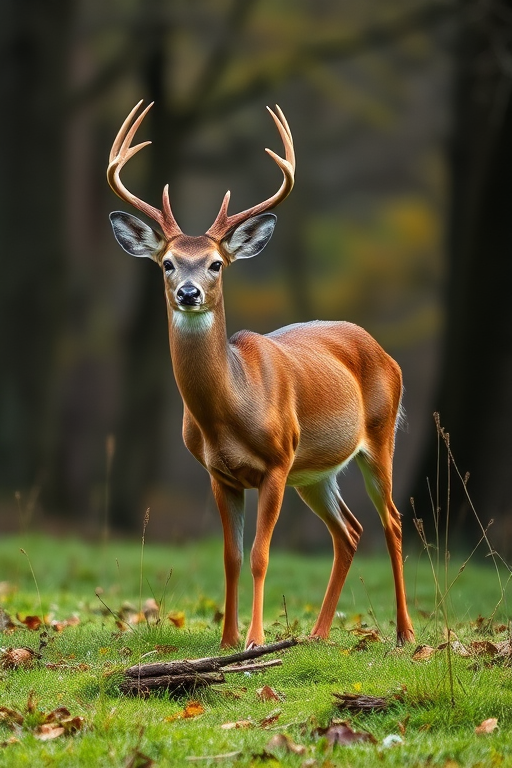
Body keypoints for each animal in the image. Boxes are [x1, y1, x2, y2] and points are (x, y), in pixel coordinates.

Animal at [107, 101, 415, 649]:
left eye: (215, 264)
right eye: (167, 263)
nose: (188, 292)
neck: (232, 409)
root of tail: (385, 351)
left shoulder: (276, 462)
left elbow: (260, 555)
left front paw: (253, 639)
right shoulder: (219, 474)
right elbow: (230, 557)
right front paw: (227, 641)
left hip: (377, 439)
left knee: (394, 523)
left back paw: (404, 633)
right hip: (314, 470)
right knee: (349, 531)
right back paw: (317, 634)